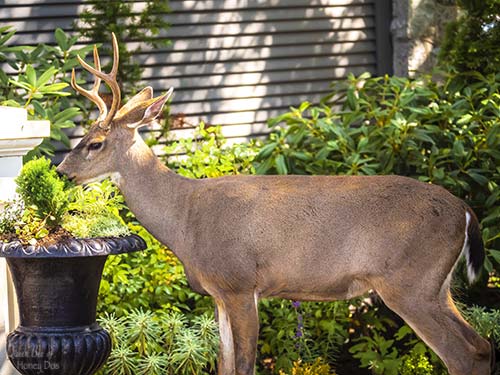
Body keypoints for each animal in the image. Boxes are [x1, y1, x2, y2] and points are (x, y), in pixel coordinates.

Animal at [57, 33, 492, 375]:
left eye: (95, 143)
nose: (61, 171)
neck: (184, 217)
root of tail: (465, 211)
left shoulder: (240, 282)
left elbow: (244, 365)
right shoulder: (220, 293)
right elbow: (225, 365)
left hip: (409, 282)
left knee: (463, 354)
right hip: (436, 285)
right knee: (482, 345)